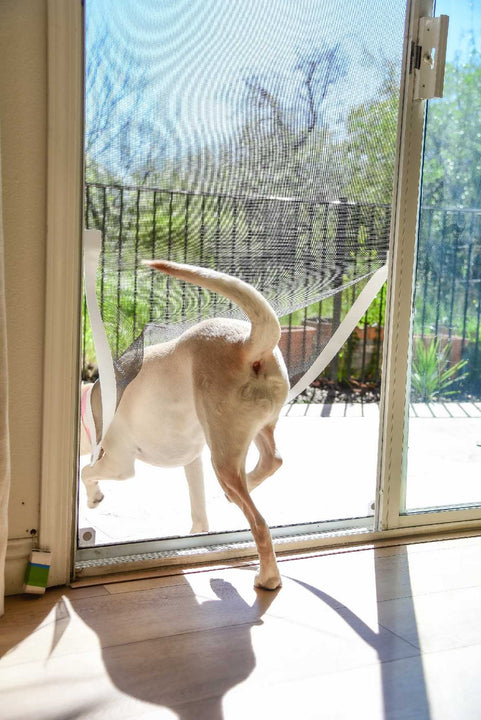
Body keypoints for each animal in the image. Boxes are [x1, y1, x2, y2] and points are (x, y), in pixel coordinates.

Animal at [81, 262, 288, 588]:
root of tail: (249, 344)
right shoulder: (193, 462)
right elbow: (199, 514)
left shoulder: (119, 464)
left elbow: (85, 472)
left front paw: (93, 497)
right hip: (252, 430)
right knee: (272, 459)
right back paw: (246, 485)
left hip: (224, 456)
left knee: (259, 522)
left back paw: (268, 578)